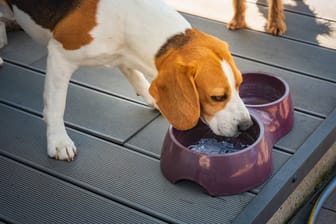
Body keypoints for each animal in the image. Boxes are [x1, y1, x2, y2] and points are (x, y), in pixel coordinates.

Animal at [0, 0, 252, 161]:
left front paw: (155, 100)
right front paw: (58, 141)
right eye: (217, 97)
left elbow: (138, 78)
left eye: (240, 85)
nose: (246, 126)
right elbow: (55, 107)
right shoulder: (60, 55)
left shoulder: (123, 55)